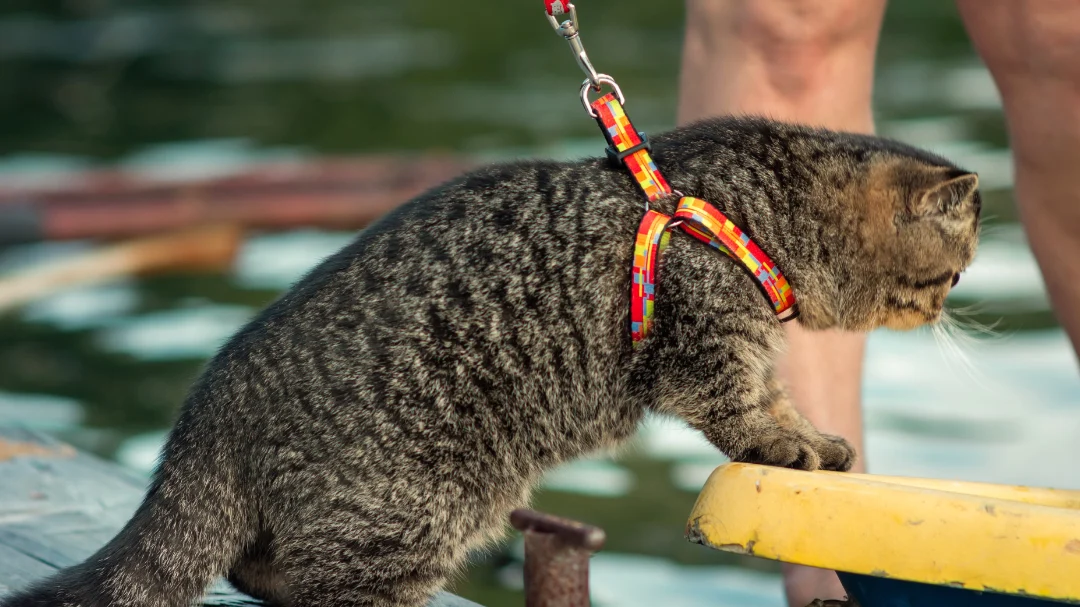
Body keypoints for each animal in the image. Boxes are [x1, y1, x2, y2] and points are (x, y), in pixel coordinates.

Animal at [0, 117, 980, 604]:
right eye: (955, 268)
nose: (956, 301)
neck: (754, 209)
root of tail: (212, 400)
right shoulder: (708, 349)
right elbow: (749, 415)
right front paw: (796, 445)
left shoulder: (746, 350)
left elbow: (776, 399)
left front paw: (813, 435)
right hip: (404, 515)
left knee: (253, 569)